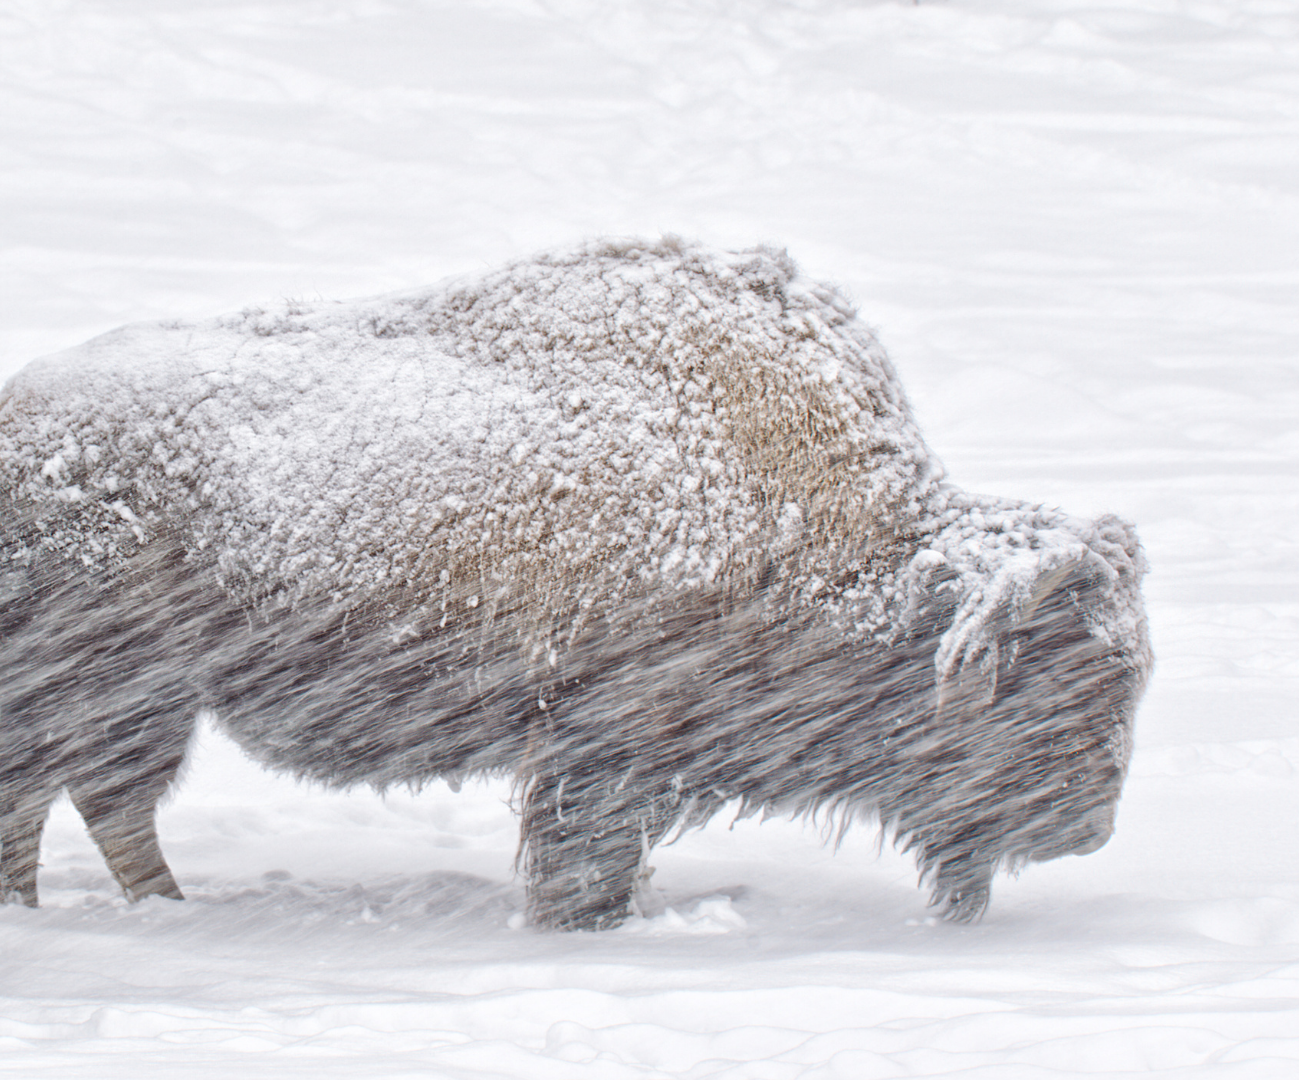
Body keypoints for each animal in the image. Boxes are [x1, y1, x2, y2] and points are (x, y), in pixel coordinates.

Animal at [0, 239, 1148, 930]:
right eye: (1049, 683)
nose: (1085, 832)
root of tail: (21, 427)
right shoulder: (598, 744)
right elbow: (580, 857)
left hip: (145, 704)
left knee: (99, 804)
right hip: (105, 692)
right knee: (56, 801)